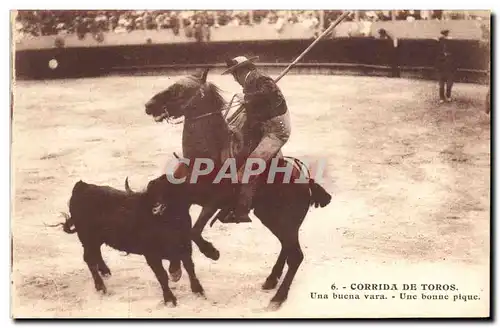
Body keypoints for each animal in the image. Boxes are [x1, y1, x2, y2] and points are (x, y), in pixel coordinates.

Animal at [134, 69, 332, 310]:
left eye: (179, 89)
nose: (149, 105)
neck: (206, 156)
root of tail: (306, 181)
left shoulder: (214, 202)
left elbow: (194, 231)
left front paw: (212, 252)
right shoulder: (182, 200)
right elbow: (180, 232)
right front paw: (174, 270)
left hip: (284, 221)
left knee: (296, 256)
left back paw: (277, 297)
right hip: (273, 219)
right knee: (287, 249)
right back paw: (270, 280)